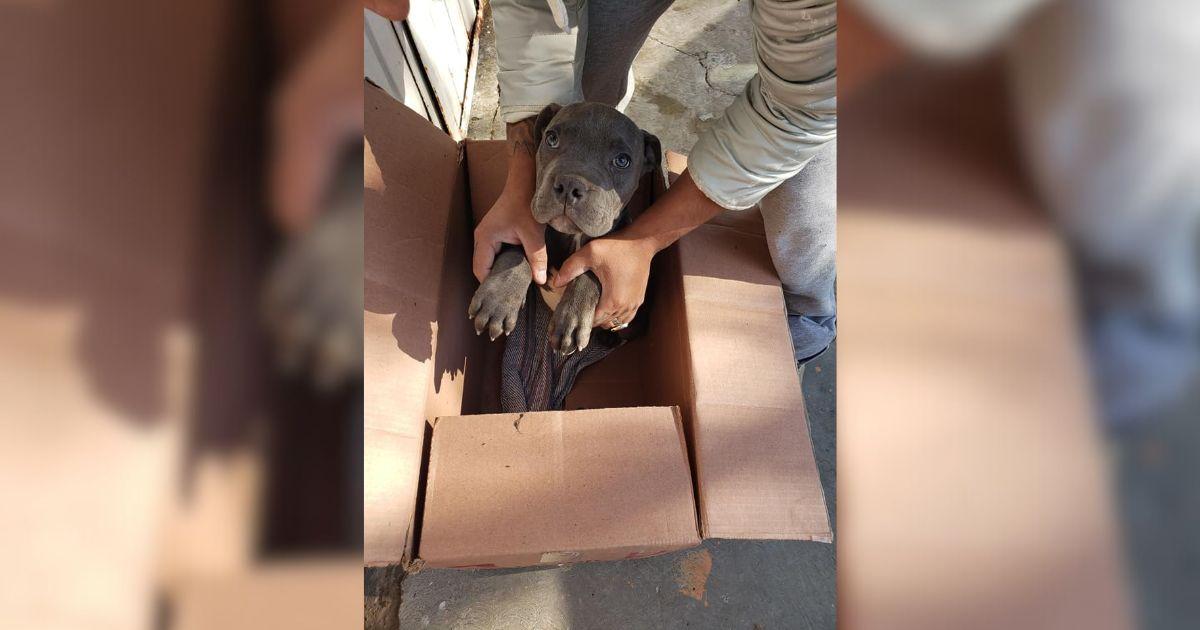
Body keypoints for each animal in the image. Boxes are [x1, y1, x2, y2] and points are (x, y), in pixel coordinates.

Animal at [468, 103, 662, 355]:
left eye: (622, 161)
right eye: (551, 139)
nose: (570, 184)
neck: (572, 236)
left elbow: (592, 271)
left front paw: (572, 318)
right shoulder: (528, 235)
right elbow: (517, 250)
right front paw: (499, 296)